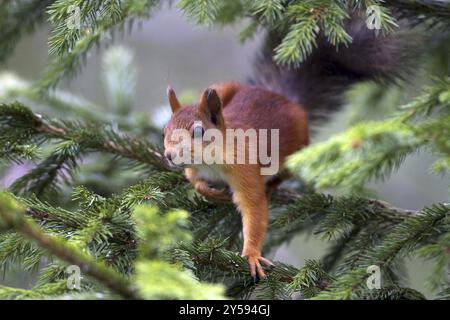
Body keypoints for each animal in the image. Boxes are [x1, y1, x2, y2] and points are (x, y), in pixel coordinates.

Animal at [163, 11, 418, 278]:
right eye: (165, 131)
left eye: (199, 131)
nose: (169, 155)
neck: (211, 161)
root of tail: (284, 98)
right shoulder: (195, 168)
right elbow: (193, 178)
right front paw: (207, 190)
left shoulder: (245, 169)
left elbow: (254, 207)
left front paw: (252, 254)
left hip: (296, 147)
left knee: (286, 172)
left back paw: (274, 185)